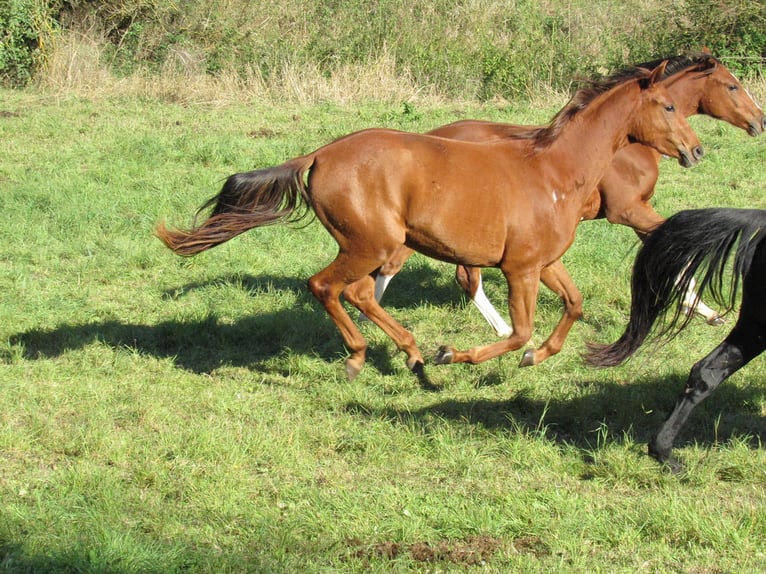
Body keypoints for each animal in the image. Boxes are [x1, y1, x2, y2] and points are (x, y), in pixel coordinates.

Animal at [156, 62, 702, 386]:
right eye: (668, 105)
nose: (697, 150)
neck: (556, 172)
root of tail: (320, 154)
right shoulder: (520, 269)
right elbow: (520, 331)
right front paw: (454, 355)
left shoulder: (544, 262)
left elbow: (573, 305)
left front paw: (536, 358)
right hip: (371, 244)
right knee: (328, 287)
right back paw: (372, 355)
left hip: (373, 245)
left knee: (358, 293)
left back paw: (410, 354)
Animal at [372, 52, 765, 338]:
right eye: (732, 86)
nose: (759, 121)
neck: (625, 145)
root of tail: (431, 136)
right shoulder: (628, 210)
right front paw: (707, 311)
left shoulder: (637, 211)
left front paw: (703, 311)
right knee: (404, 267)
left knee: (458, 276)